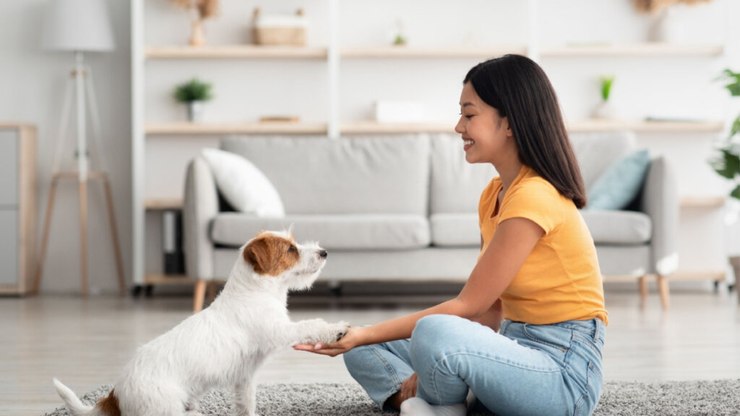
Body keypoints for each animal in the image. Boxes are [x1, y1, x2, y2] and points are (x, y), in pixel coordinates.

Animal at [55, 231, 350, 416]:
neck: (255, 291)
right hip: (165, 405)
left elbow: (246, 402)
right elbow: (309, 324)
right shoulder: (280, 330)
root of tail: (115, 394)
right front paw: (335, 329)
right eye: (291, 249)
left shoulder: (245, 377)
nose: (324, 252)